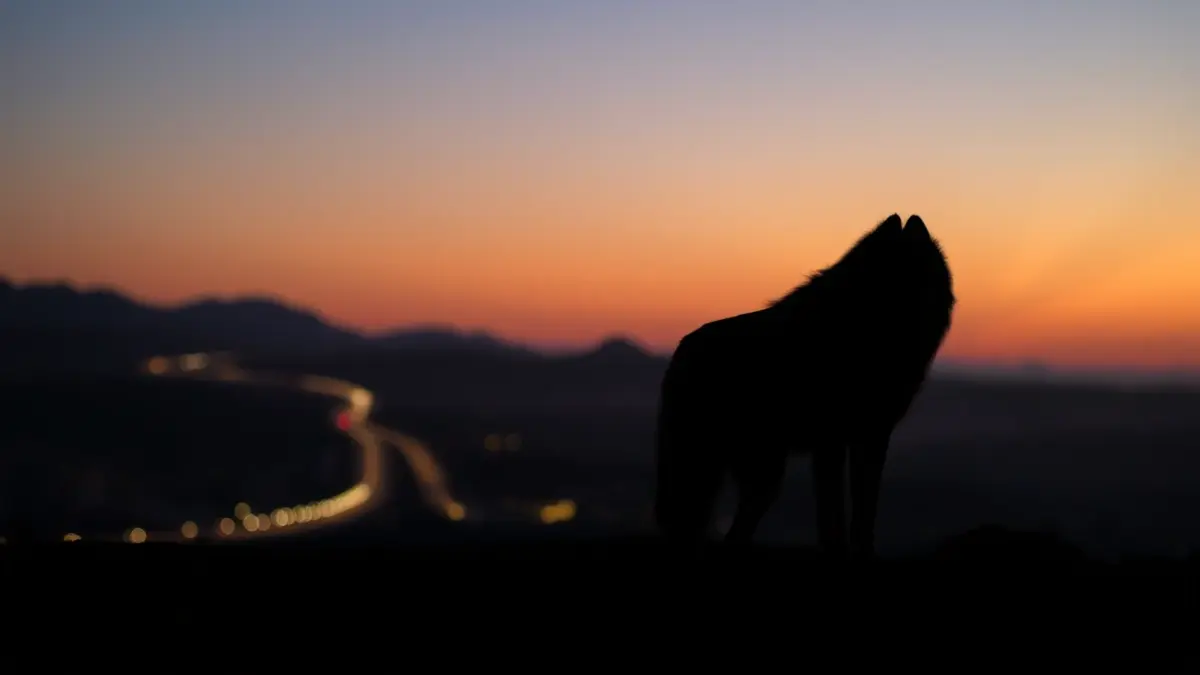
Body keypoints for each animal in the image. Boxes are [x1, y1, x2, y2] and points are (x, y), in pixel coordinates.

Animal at [653, 213, 955, 557]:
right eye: (889, 276)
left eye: (919, 275)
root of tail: (679, 353)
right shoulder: (831, 439)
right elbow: (833, 509)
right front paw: (836, 549)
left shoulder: (871, 436)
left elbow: (864, 506)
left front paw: (862, 549)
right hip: (742, 469)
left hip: (758, 474)